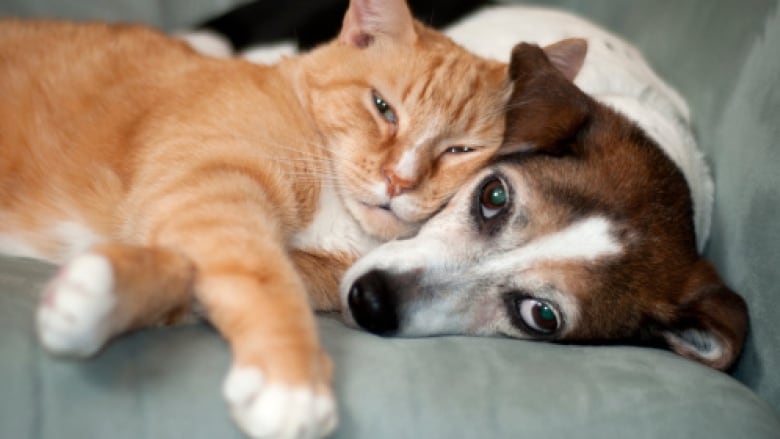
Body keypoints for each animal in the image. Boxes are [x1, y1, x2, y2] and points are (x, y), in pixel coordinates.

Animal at [0, 0, 512, 438]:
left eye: (459, 150)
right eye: (382, 107)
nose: (398, 181)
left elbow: (187, 277)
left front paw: (93, 297)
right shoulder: (211, 186)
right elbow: (263, 278)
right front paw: (292, 384)